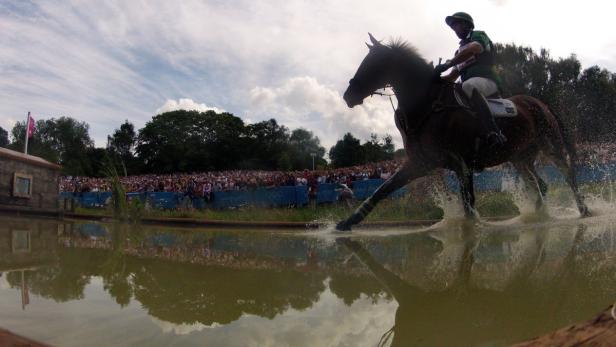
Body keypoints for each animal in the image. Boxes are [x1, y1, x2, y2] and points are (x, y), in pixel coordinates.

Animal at [336, 34, 592, 231]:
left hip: (551, 146)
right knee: (540, 185)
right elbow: (381, 191)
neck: (428, 107)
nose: (348, 95)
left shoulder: (462, 164)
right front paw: (348, 222)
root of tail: (539, 103)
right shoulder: (420, 163)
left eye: (373, 64)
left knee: (568, 174)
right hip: (520, 157)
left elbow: (468, 204)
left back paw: (583, 209)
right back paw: (537, 216)